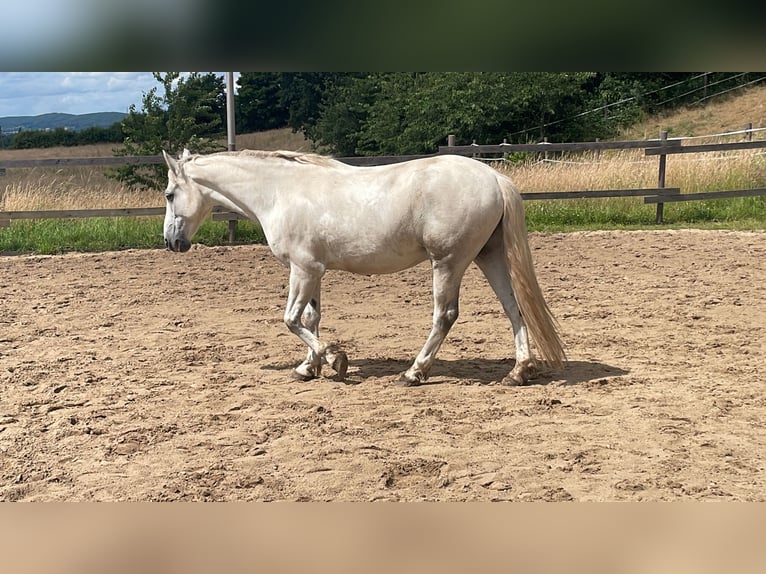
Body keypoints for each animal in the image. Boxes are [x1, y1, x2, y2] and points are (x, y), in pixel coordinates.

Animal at [162, 148, 565, 386]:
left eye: (168, 194)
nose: (171, 242)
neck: (280, 192)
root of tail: (494, 177)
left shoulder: (302, 269)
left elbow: (291, 320)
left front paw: (335, 360)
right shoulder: (315, 271)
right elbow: (311, 318)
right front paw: (309, 367)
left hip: (448, 262)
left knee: (445, 315)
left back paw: (414, 372)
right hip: (488, 255)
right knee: (513, 308)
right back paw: (519, 371)